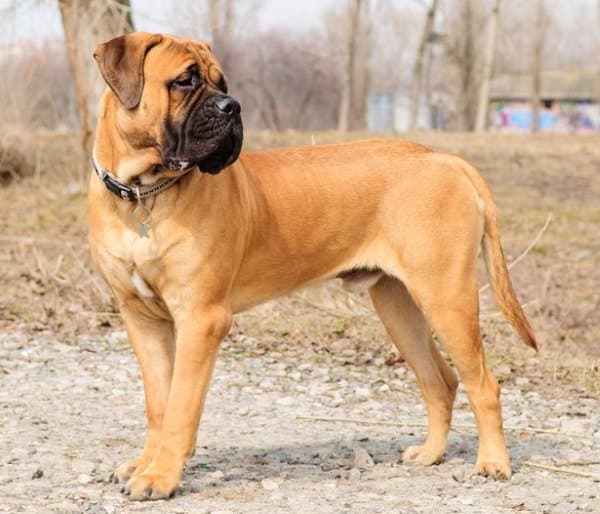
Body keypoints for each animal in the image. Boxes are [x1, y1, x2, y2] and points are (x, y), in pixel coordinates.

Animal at [88, 31, 536, 496]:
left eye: (221, 84)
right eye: (184, 81)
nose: (233, 107)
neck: (143, 195)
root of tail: (445, 158)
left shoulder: (201, 318)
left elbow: (179, 406)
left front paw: (160, 476)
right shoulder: (141, 319)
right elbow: (158, 403)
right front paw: (146, 464)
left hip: (448, 299)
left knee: (484, 384)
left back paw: (493, 464)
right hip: (399, 306)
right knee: (440, 381)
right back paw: (430, 454)